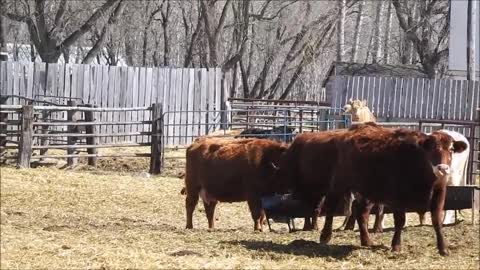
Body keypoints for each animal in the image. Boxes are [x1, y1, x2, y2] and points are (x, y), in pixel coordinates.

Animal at [316, 123, 466, 256]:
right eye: (431, 149)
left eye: (451, 149)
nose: (443, 169)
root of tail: (351, 131)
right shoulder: (399, 196)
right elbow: (400, 221)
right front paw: (396, 246)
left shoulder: (439, 193)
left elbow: (436, 220)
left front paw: (443, 249)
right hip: (339, 182)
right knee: (331, 206)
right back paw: (325, 236)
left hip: (369, 190)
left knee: (361, 212)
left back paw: (366, 241)